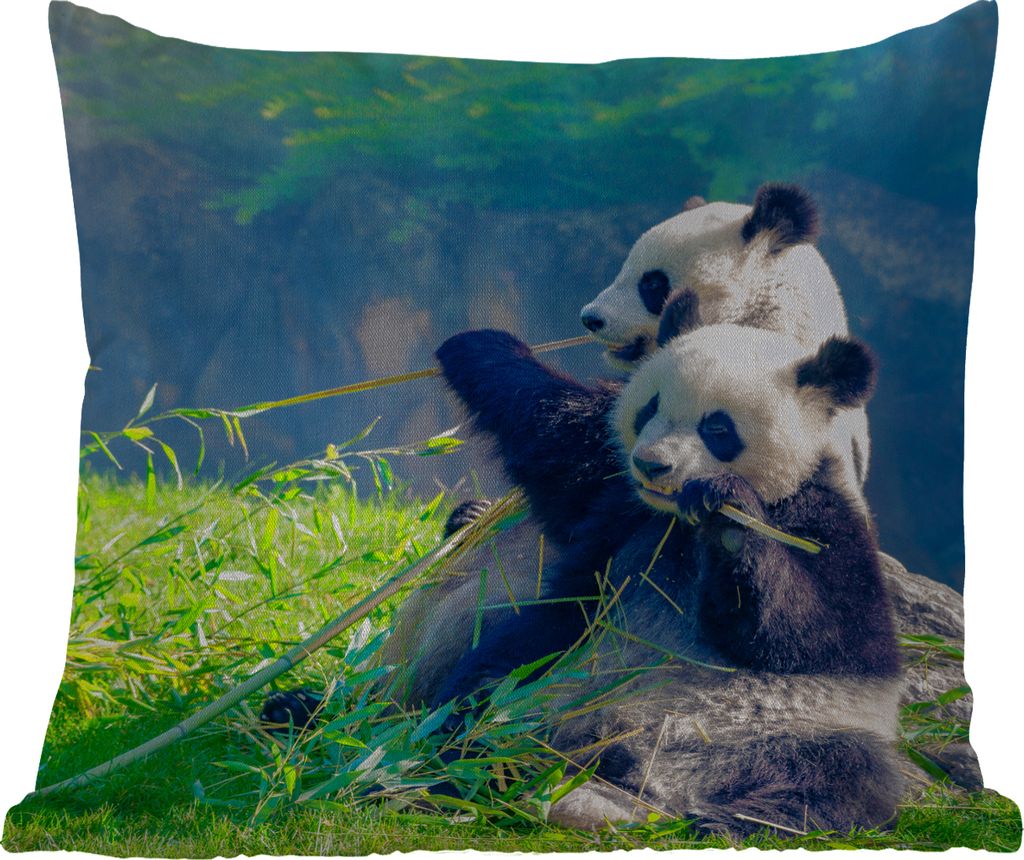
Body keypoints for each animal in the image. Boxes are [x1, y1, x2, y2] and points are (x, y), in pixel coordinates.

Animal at [431, 321, 905, 834]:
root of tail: (647, 780)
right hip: (550, 680)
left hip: (796, 731)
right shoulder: (620, 503)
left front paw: (729, 517)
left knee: (840, 776)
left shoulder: (825, 520)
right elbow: (556, 434)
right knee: (486, 695)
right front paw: (480, 347)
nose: (651, 465)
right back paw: (471, 765)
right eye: (648, 409)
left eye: (717, 428)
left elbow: (813, 632)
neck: (679, 522)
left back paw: (725, 820)